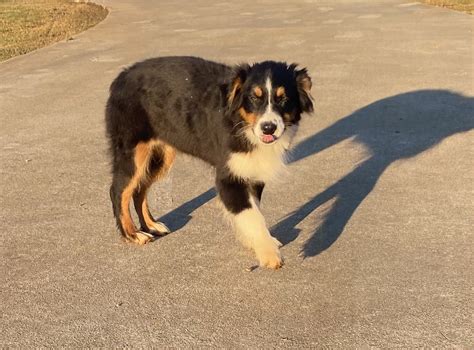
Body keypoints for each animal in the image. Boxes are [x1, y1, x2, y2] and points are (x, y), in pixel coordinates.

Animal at [105, 56, 312, 268]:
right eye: (254, 98)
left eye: (284, 99)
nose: (268, 128)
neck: (241, 124)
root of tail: (123, 75)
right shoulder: (228, 176)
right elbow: (252, 216)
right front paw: (268, 253)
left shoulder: (252, 172)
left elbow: (254, 211)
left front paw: (255, 242)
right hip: (134, 152)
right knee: (118, 191)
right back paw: (132, 234)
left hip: (161, 155)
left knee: (140, 189)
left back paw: (151, 225)